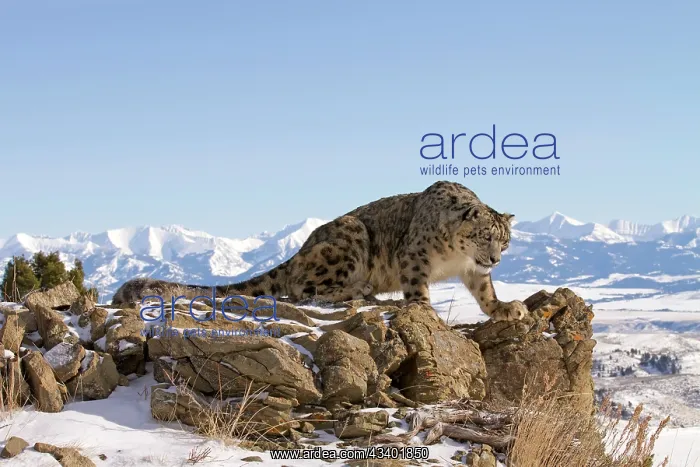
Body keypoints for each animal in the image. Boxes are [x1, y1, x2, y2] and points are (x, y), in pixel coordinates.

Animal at [112, 180, 527, 322]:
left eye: (504, 240)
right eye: (484, 235)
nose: (495, 258)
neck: (456, 259)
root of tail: (301, 249)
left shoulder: (473, 271)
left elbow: (485, 292)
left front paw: (507, 308)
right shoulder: (415, 256)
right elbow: (417, 287)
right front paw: (424, 309)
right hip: (350, 240)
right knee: (304, 288)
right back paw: (360, 289)